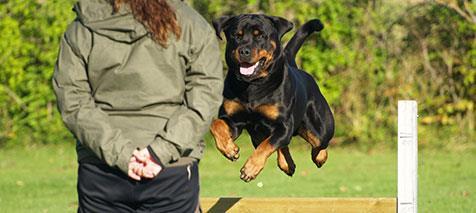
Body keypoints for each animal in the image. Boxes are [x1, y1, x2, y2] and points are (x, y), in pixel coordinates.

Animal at [210, 14, 332, 182]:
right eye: (237, 35)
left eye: (260, 35)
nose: (244, 50)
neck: (252, 86)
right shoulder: (233, 121)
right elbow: (216, 124)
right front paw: (229, 149)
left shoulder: (283, 124)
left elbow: (267, 145)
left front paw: (250, 169)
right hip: (258, 134)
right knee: (282, 144)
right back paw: (287, 164)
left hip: (322, 126)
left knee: (319, 142)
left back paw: (319, 156)